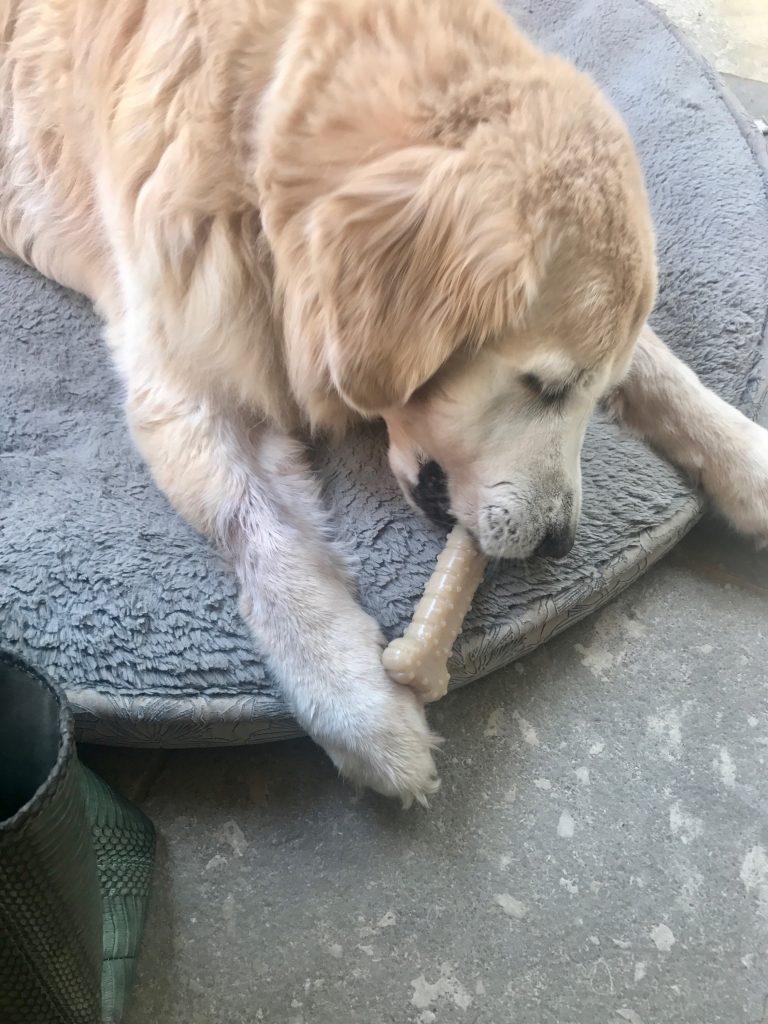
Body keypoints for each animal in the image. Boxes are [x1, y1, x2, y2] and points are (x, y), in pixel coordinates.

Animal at [1, 0, 767, 804]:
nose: (560, 543)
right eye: (546, 385)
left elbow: (659, 364)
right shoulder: (185, 370)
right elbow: (262, 529)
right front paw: (358, 703)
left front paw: (746, 457)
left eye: (586, 388)